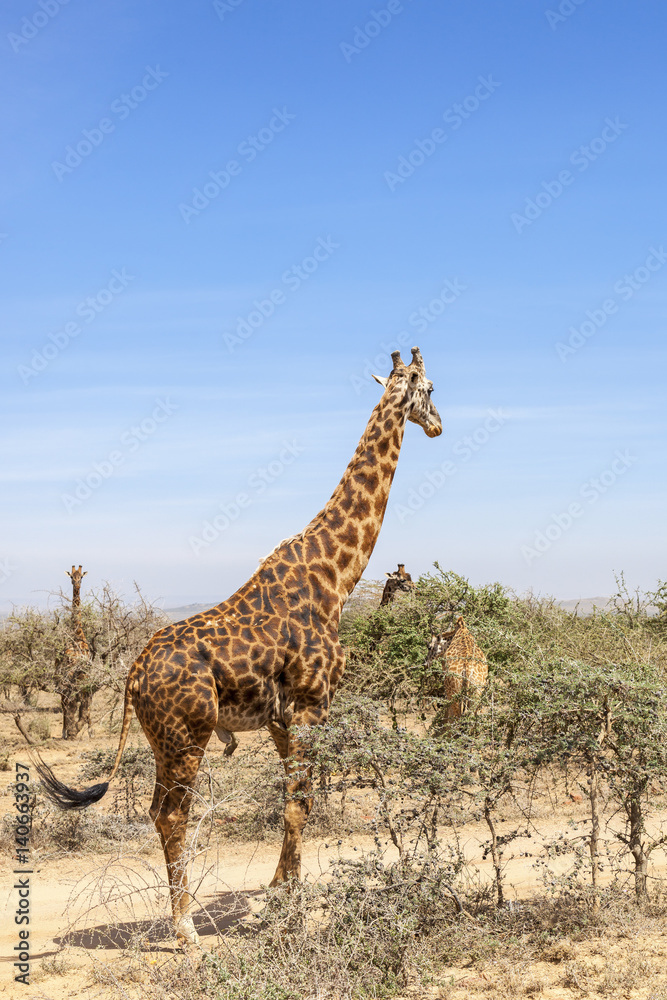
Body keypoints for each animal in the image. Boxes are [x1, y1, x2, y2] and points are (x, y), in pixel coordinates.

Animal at [36, 347, 442, 946]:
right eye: (430, 388)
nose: (438, 425)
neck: (336, 577)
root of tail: (132, 674)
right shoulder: (311, 706)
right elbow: (300, 802)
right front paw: (291, 908)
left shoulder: (279, 716)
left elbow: (293, 800)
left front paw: (280, 891)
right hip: (188, 734)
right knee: (172, 814)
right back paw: (185, 928)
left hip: (163, 740)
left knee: (157, 810)